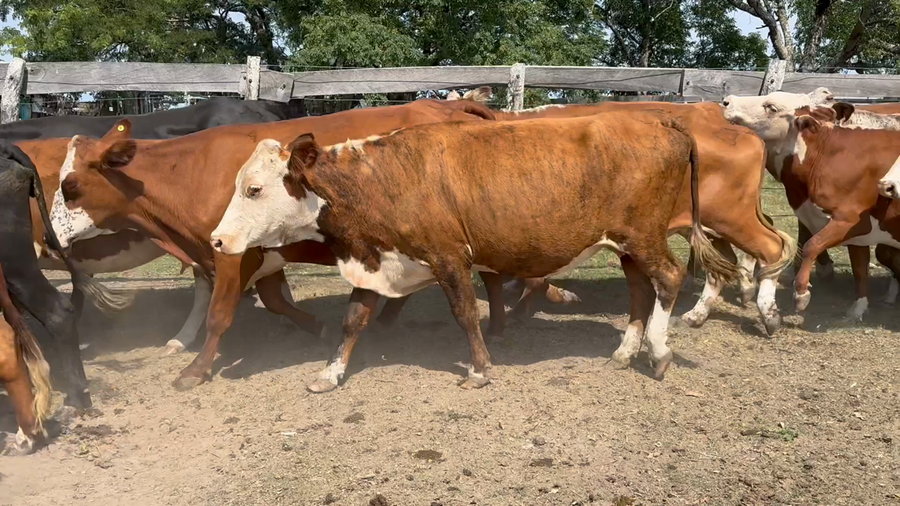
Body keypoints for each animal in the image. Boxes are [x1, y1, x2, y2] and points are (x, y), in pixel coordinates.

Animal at [48, 99, 498, 391]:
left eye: (70, 187)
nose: (49, 237)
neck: (190, 172)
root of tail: (450, 106)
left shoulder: (230, 254)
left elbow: (219, 315)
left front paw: (196, 369)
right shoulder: (258, 254)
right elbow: (276, 300)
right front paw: (314, 326)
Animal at [209, 112, 738, 391]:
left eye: (254, 189)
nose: (217, 240)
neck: (383, 182)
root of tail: (660, 120)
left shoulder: (449, 257)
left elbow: (465, 313)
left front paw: (480, 369)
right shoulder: (376, 262)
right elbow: (352, 321)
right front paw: (330, 373)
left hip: (644, 237)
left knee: (668, 279)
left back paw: (659, 351)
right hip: (625, 243)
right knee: (639, 291)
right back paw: (626, 351)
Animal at [456, 95, 795, 335]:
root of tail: (738, 130)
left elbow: (534, 277)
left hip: (731, 216)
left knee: (770, 246)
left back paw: (768, 312)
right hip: (709, 223)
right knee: (723, 262)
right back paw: (701, 312)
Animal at [723, 90, 900, 318]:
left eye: (771, 106)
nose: (727, 101)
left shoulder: (848, 220)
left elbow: (811, 245)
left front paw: (801, 293)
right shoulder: (857, 233)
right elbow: (860, 269)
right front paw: (858, 308)